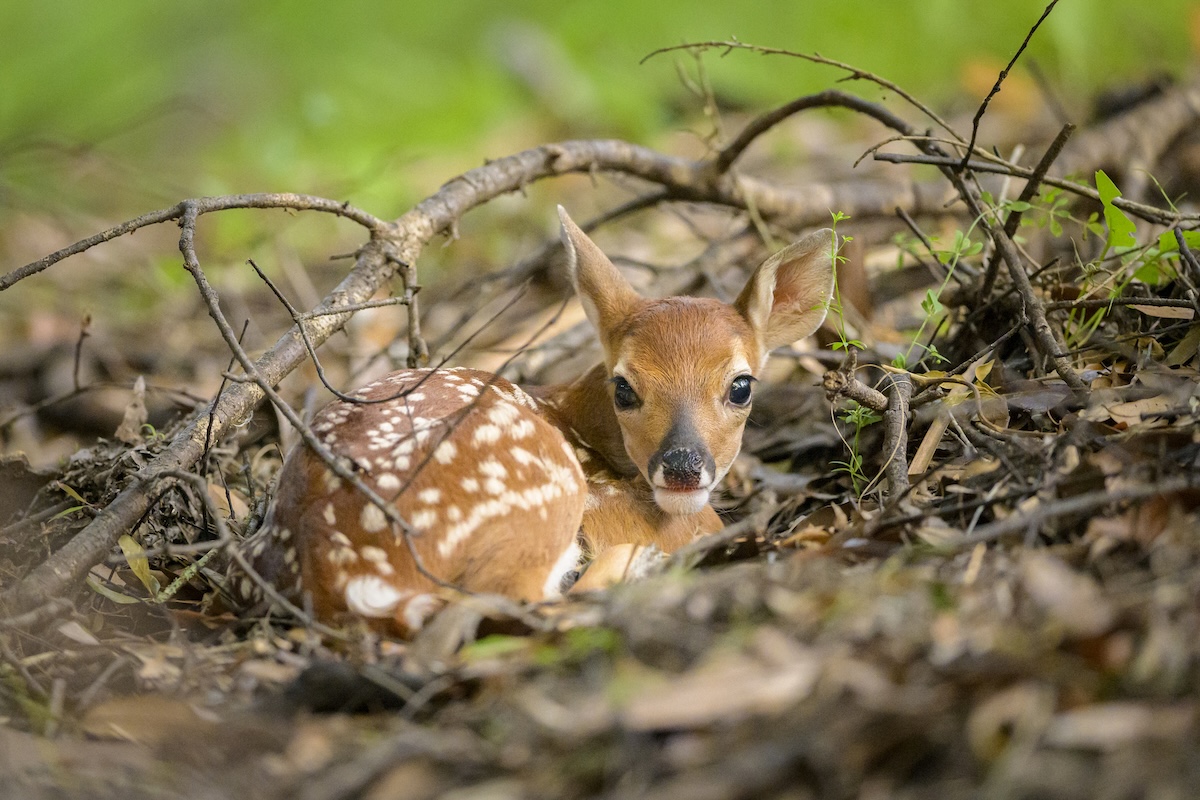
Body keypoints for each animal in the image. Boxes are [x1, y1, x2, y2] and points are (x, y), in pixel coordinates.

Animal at [227, 207, 834, 637]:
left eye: (741, 385)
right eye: (624, 387)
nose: (682, 466)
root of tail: (338, 577)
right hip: (540, 490)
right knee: (521, 602)